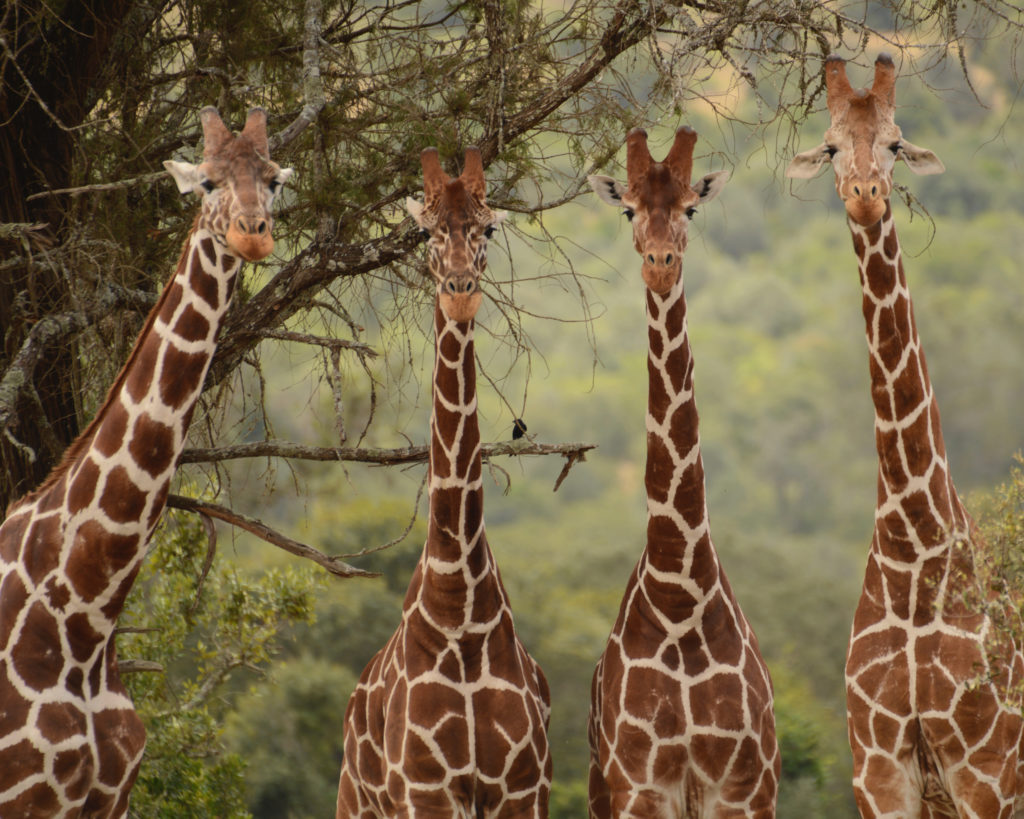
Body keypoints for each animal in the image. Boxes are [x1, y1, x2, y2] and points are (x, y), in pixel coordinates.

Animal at [0, 106, 292, 817]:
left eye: (273, 179)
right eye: (207, 182)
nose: (252, 237)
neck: (83, 616)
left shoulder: (110, 798)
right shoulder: (25, 793)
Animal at [335, 146, 552, 818]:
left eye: (487, 229)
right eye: (427, 232)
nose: (459, 293)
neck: (461, 610)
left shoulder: (521, 789)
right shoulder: (426, 790)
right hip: (355, 802)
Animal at [587, 126, 779, 818]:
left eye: (691, 209)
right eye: (628, 211)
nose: (659, 261)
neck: (680, 595)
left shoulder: (744, 786)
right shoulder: (641, 787)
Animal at [787, 53, 1024, 817]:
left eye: (895, 143)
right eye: (831, 146)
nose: (864, 195)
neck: (914, 545)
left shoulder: (987, 773)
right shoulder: (879, 772)